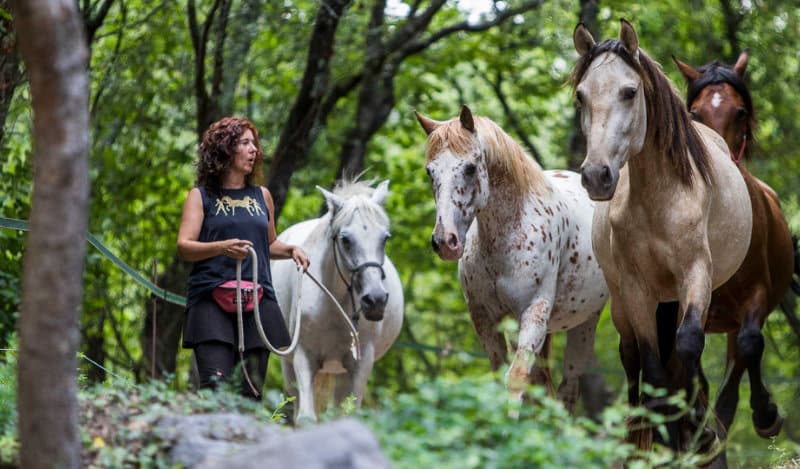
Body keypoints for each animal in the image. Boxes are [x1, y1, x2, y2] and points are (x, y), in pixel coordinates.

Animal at [271, 179, 403, 422]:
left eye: (385, 238)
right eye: (346, 240)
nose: (375, 300)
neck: (335, 307)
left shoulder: (360, 364)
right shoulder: (304, 356)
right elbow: (306, 418)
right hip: (289, 363)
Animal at [415, 105, 608, 413]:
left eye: (470, 168)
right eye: (430, 171)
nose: (445, 242)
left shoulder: (532, 314)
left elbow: (516, 378)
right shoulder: (484, 318)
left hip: (584, 324)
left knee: (567, 391)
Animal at [571, 20, 753, 455]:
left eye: (629, 91)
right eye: (581, 95)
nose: (596, 176)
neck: (660, 201)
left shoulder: (695, 275)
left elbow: (686, 347)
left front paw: (697, 429)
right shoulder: (637, 290)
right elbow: (651, 366)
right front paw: (666, 434)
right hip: (624, 302)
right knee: (632, 358)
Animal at [672, 50, 795, 438]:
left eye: (739, 111)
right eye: (695, 113)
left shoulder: (755, 296)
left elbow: (750, 343)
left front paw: (766, 412)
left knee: (732, 383)